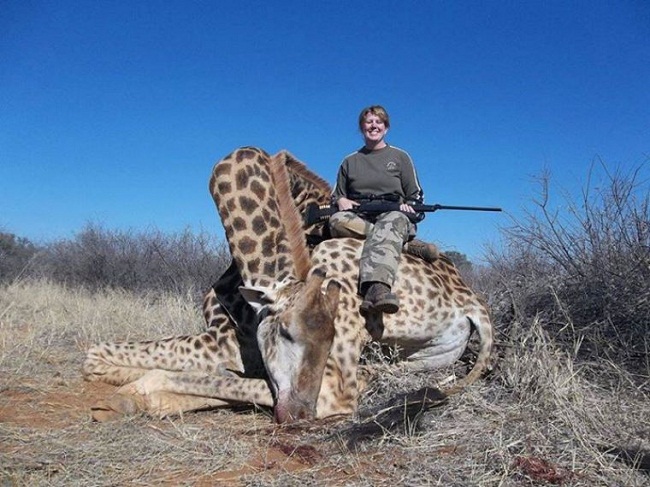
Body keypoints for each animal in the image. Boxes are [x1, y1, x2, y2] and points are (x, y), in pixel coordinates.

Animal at [84, 147, 493, 422]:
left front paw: (125, 394)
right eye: (285, 332)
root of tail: (473, 304)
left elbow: (100, 354)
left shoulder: (228, 341)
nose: (298, 413)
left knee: (336, 397)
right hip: (408, 359)